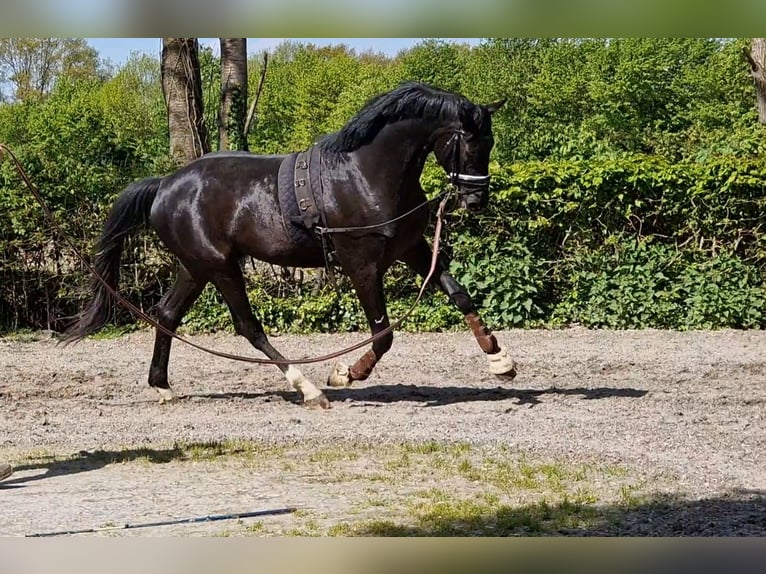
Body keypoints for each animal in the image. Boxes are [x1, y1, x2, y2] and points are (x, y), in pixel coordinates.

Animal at [66, 83, 520, 412]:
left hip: (196, 267)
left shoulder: (413, 248)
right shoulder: (362, 264)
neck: (365, 174)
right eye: (470, 142)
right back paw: (308, 388)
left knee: (166, 314)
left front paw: (499, 358)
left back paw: (161, 385)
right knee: (248, 327)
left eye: (491, 142)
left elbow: (459, 293)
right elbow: (382, 334)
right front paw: (346, 373)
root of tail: (164, 185)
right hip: (220, 267)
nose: (476, 200)